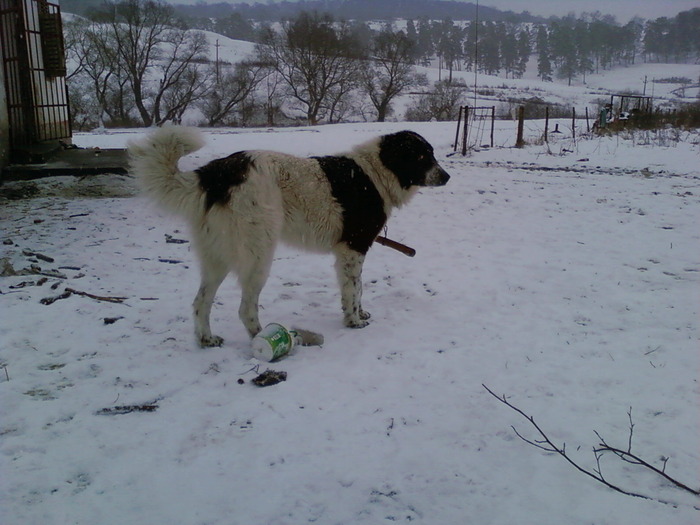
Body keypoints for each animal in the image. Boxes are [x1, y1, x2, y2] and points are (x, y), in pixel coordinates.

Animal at [129, 126, 452, 348]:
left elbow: (358, 289)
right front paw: (354, 320)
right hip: (258, 254)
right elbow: (353, 289)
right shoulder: (352, 249)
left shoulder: (350, 251)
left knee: (200, 302)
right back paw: (264, 338)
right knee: (245, 307)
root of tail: (218, 173)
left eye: (431, 154)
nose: (446, 177)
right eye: (421, 156)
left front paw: (361, 314)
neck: (376, 172)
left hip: (217, 256)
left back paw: (207, 339)